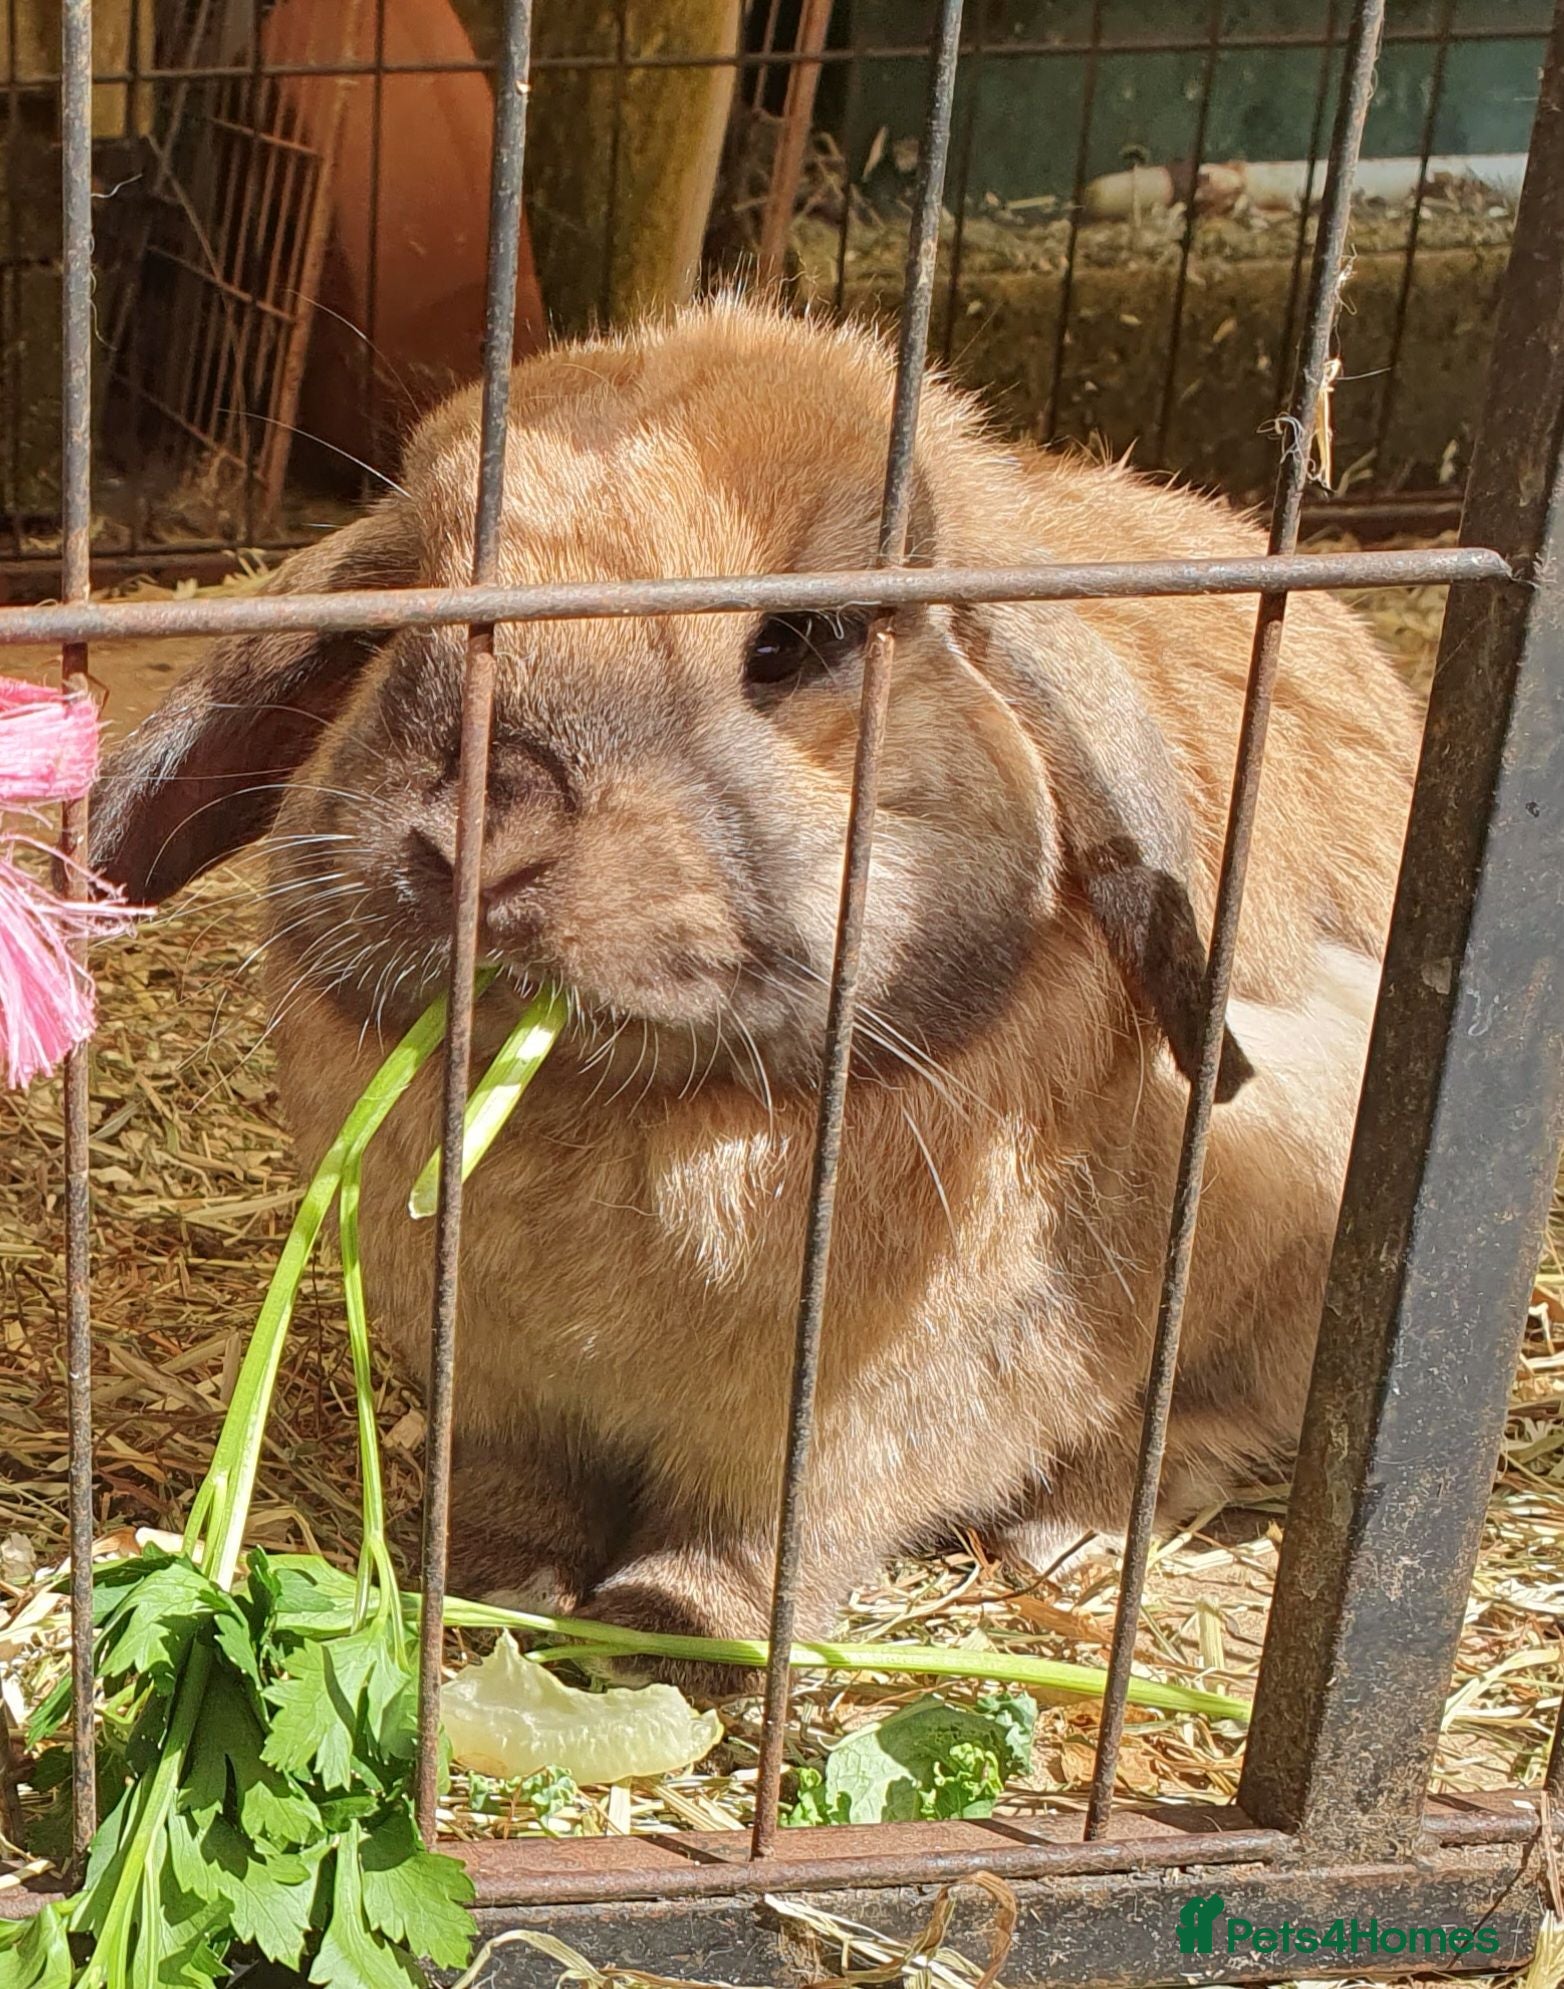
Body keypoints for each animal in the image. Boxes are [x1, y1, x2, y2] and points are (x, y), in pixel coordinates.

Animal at [91, 300, 1421, 1695]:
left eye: (795, 644)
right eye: (409, 613)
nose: (478, 839)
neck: (629, 1104)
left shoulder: (853, 1427)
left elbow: (770, 1542)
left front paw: (672, 1635)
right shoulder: (504, 1400)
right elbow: (519, 1496)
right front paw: (497, 1582)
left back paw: (1065, 1533)